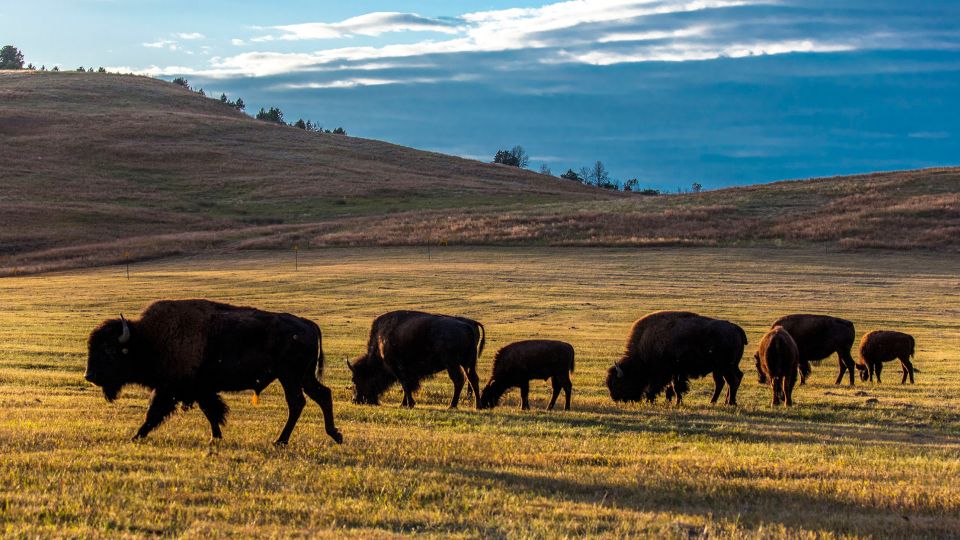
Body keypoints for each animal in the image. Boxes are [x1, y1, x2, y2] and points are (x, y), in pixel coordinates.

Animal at [85, 299, 342, 445]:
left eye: (109, 349)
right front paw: (216, 437)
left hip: (290, 377)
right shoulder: (200, 390)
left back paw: (280, 441)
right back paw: (335, 435)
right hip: (303, 376)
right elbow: (211, 411)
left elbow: (154, 414)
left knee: (297, 403)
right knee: (322, 395)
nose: (90, 376)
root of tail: (309, 324)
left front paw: (135, 436)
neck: (149, 339)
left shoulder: (172, 390)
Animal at [347, 310, 485, 408]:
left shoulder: (397, 368)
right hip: (467, 363)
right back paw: (477, 405)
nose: (356, 400)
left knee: (459, 380)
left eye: (355, 379)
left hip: (452, 363)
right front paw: (403, 404)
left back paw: (452, 405)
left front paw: (410, 404)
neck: (380, 340)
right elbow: (407, 386)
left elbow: (405, 385)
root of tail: (467, 325)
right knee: (473, 379)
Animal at [606, 311, 746, 405]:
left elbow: (670, 386)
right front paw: (673, 401)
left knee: (731, 381)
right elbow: (674, 386)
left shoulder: (664, 372)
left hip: (725, 367)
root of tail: (736, 328)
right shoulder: (676, 372)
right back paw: (718, 402)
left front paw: (652, 400)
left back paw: (730, 402)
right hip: (722, 368)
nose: (615, 398)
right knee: (726, 381)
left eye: (618, 383)